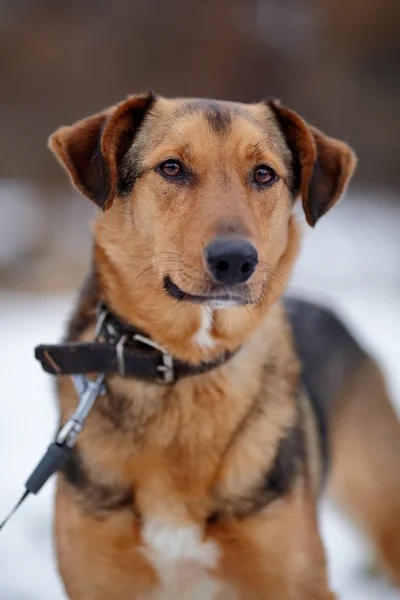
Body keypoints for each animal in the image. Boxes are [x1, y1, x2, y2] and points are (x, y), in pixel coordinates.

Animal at [47, 95, 400, 600]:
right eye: (172, 168)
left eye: (264, 174)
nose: (235, 260)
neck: (182, 369)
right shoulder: (100, 582)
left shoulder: (296, 581)